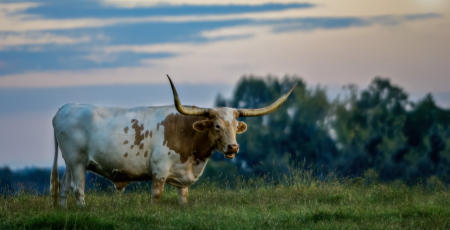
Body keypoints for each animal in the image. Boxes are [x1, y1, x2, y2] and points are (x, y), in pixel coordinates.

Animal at [50, 75, 296, 207]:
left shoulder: (183, 178)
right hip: (77, 162)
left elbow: (183, 198)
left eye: (236, 126)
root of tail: (65, 108)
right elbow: (156, 195)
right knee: (78, 189)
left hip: (70, 163)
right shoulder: (159, 171)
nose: (233, 147)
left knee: (64, 188)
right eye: (217, 125)